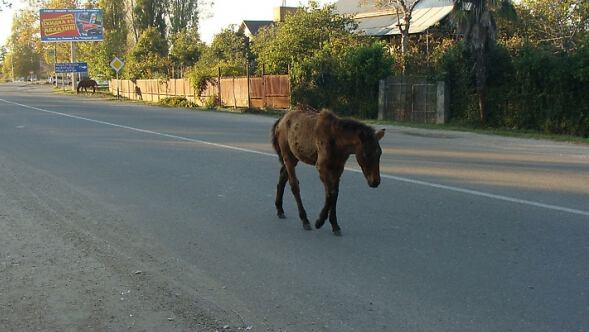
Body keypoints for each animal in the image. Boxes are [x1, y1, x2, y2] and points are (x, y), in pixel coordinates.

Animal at [272, 107, 386, 236]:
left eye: (380, 153)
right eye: (366, 154)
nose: (375, 181)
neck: (338, 142)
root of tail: (280, 121)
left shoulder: (338, 168)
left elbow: (334, 193)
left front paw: (335, 225)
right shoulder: (322, 167)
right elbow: (330, 193)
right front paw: (319, 222)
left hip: (294, 156)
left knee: (282, 176)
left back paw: (280, 209)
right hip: (288, 156)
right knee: (294, 185)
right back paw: (305, 220)